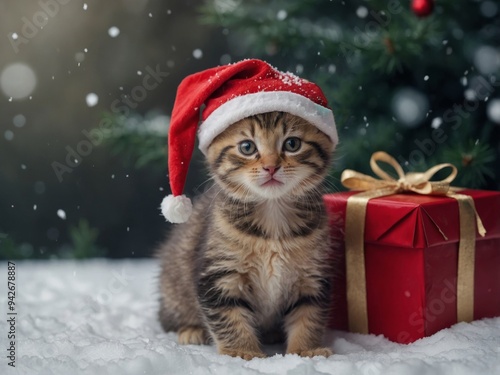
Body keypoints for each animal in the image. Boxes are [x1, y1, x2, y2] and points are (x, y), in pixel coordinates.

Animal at [158, 111, 334, 362]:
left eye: (292, 144)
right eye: (247, 147)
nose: (271, 167)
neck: (273, 215)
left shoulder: (312, 275)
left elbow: (309, 314)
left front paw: (304, 350)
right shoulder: (220, 274)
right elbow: (229, 316)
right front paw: (242, 351)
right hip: (174, 290)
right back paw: (192, 330)